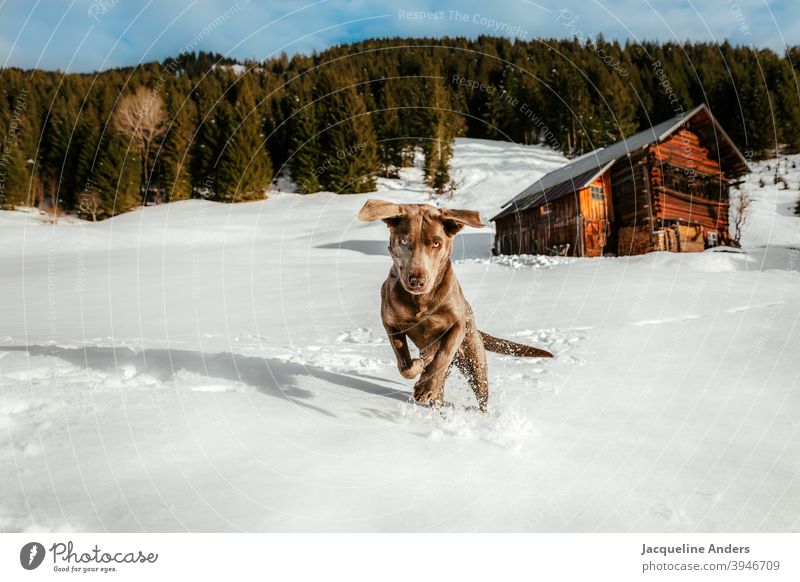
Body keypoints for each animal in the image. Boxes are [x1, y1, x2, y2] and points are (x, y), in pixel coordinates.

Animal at [360, 203, 552, 412]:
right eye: (404, 240)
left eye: (436, 243)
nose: (417, 281)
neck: (421, 301)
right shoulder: (391, 324)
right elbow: (405, 365)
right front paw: (419, 367)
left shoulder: (458, 324)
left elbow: (444, 353)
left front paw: (425, 384)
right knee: (438, 392)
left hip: (476, 364)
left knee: (480, 395)